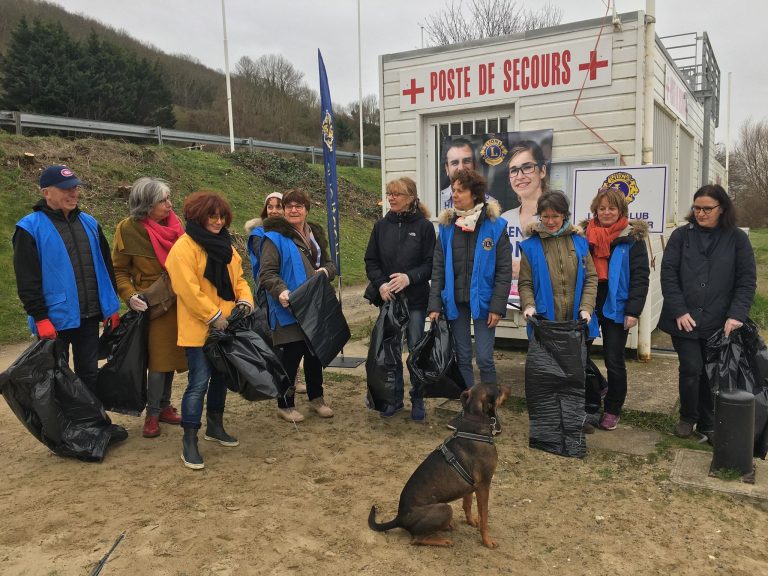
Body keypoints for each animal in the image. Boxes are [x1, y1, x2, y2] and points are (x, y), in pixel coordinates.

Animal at [368, 382, 500, 548]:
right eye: (498, 389)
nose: (508, 388)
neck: (474, 427)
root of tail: (400, 517)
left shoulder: (471, 486)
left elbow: (467, 505)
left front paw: (471, 521)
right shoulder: (484, 486)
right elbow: (484, 517)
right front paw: (487, 540)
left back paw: (446, 527)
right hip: (445, 508)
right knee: (416, 539)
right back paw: (443, 540)